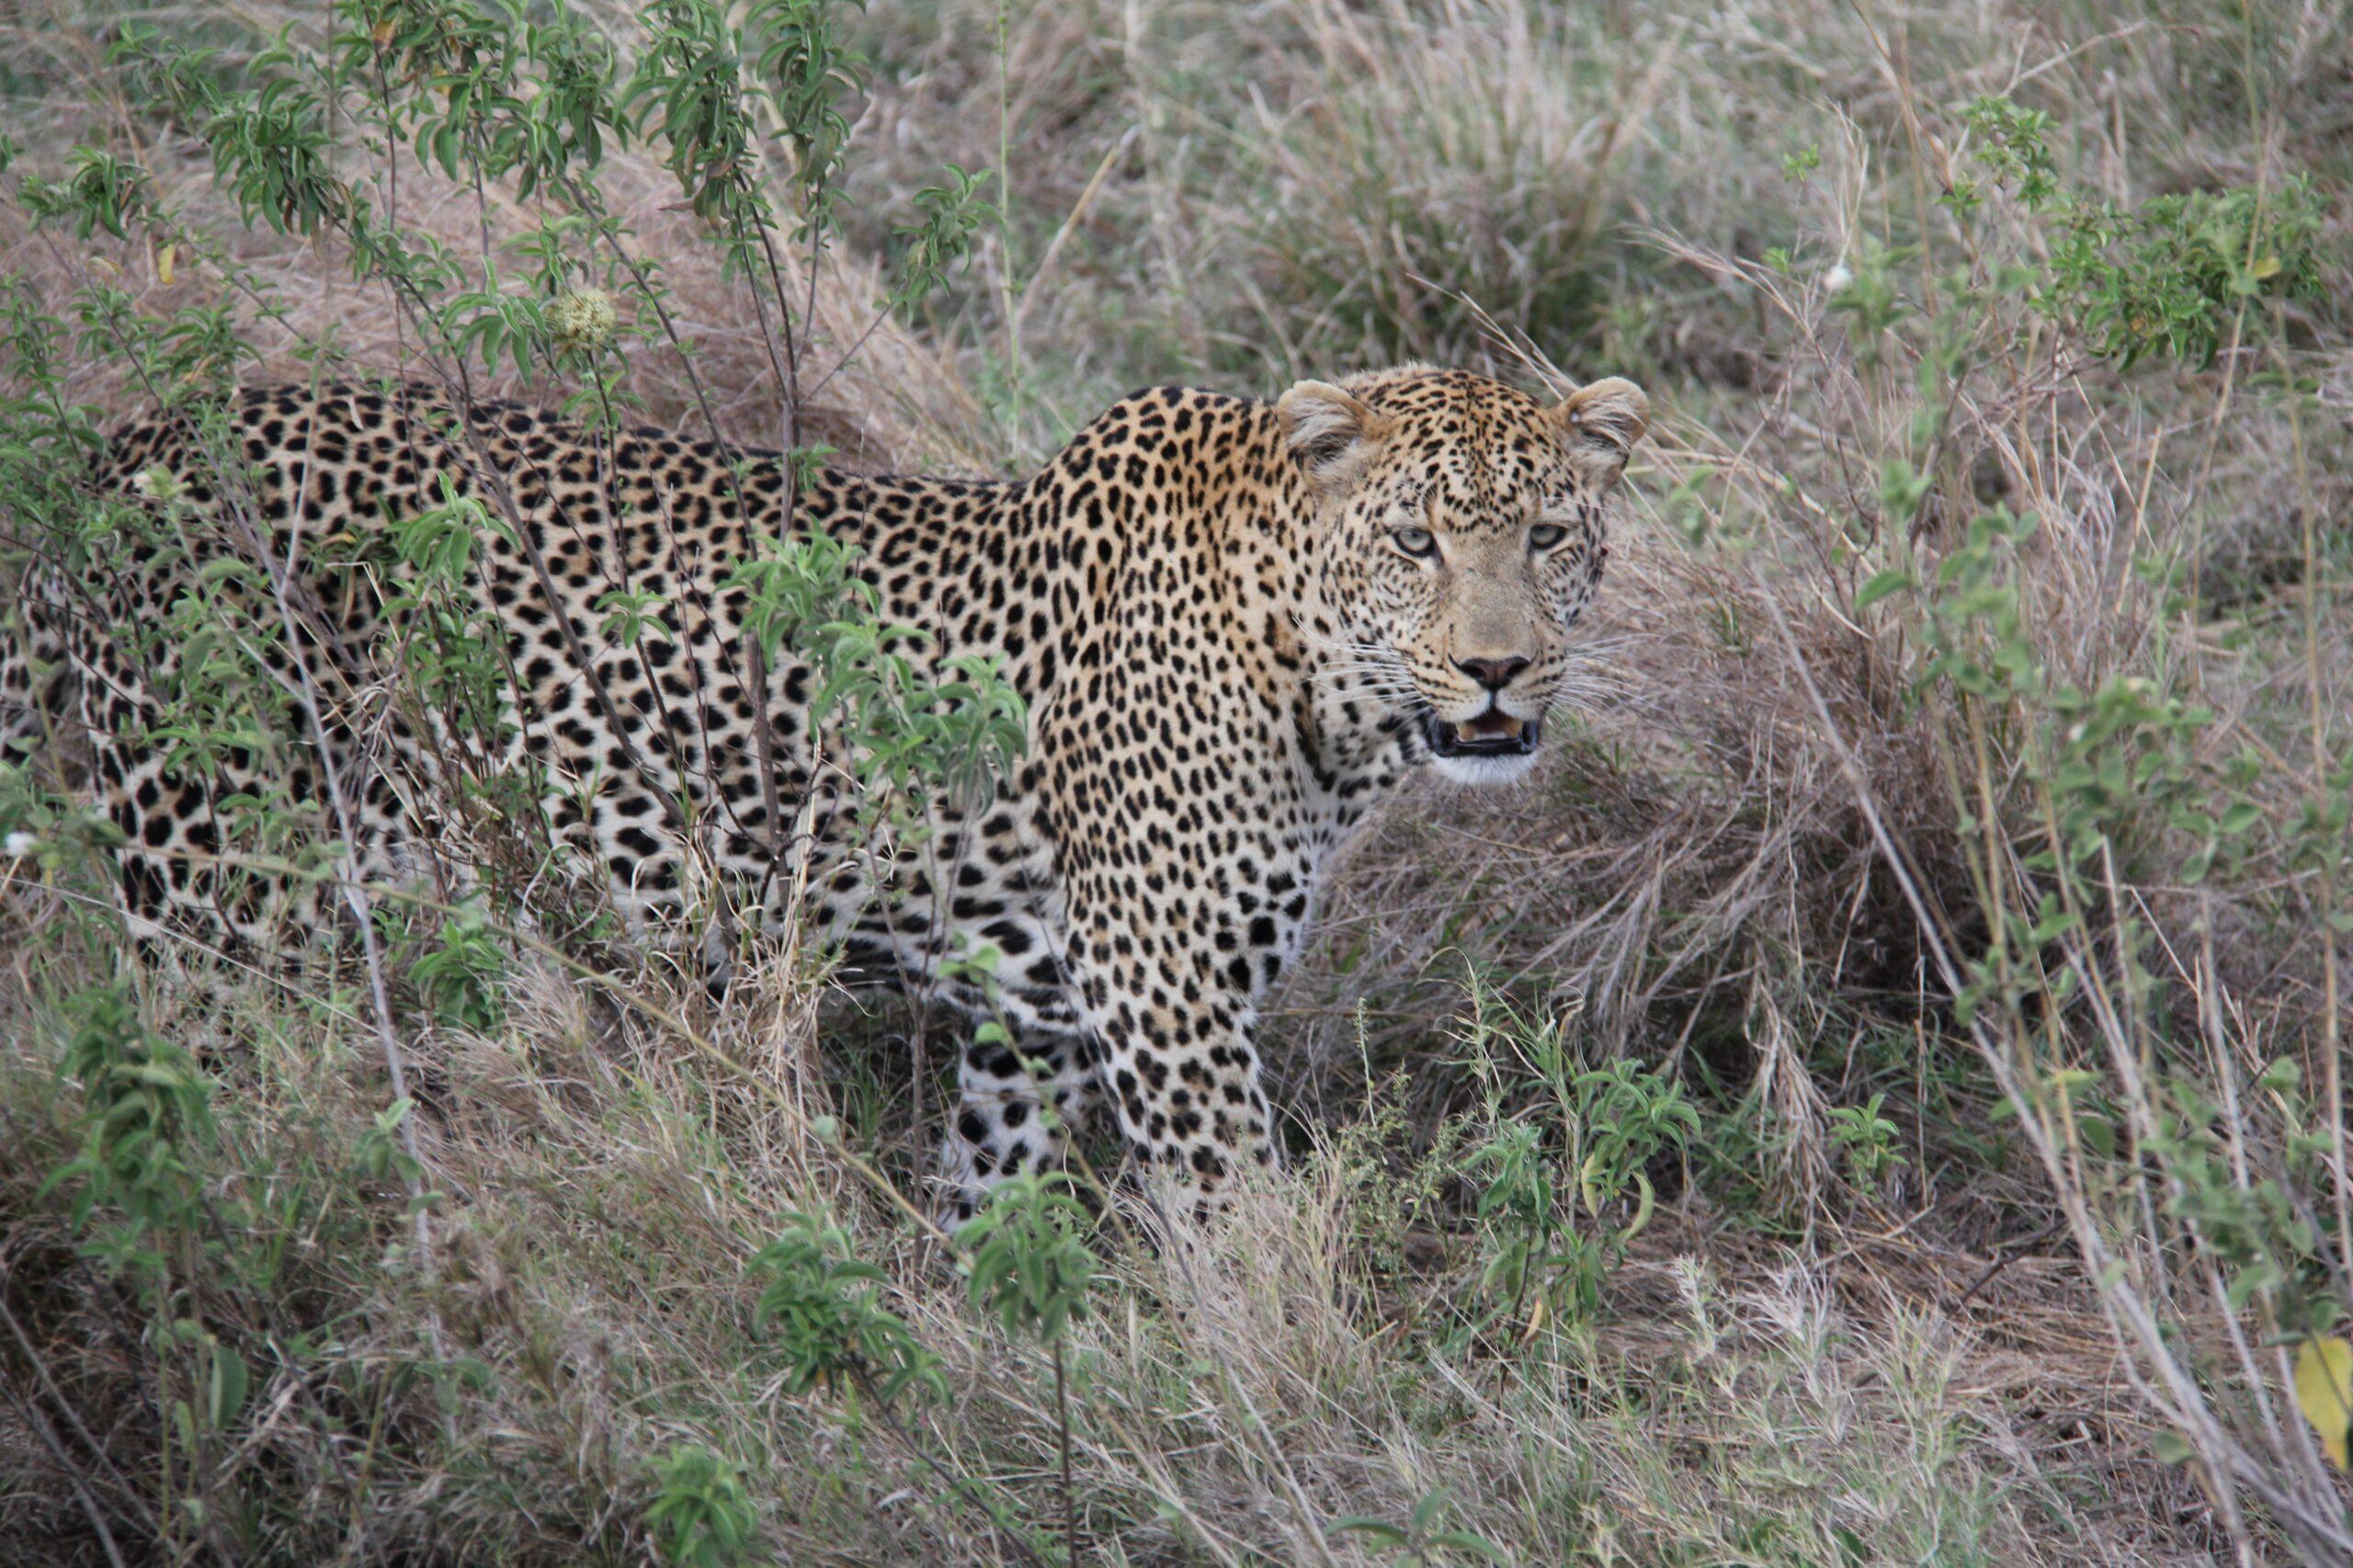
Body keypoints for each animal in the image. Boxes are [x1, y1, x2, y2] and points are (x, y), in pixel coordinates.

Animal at [0, 364, 1649, 1218]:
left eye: (1552, 535)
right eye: (1417, 542)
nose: (1500, 671)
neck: (1321, 685)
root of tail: (130, 438)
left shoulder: (1038, 1015)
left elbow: (986, 1205)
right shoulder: (1166, 1002)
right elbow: (1242, 1228)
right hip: (226, 900)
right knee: (196, 1127)